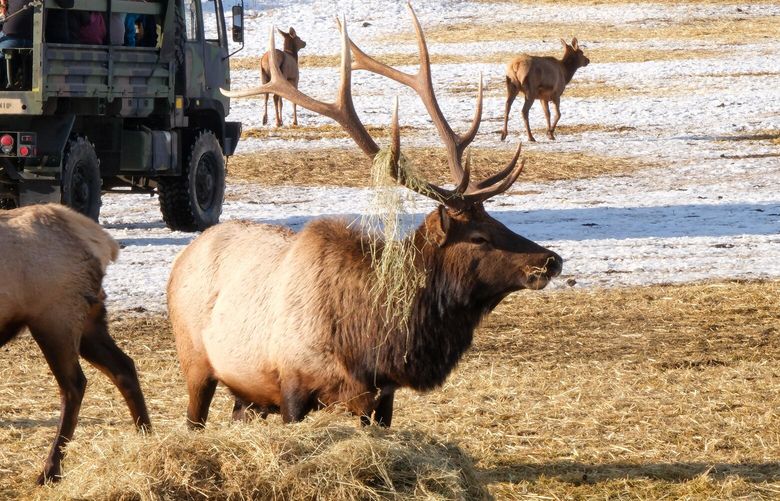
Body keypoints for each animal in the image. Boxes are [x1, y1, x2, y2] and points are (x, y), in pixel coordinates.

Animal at [0, 204, 151, 484]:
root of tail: (102, 242)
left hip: (55, 319)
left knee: (74, 385)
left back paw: (50, 470)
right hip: (89, 320)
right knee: (124, 367)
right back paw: (147, 436)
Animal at [171, 2, 562, 429]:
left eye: (497, 221)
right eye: (478, 237)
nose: (552, 260)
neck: (369, 342)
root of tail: (184, 256)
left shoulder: (381, 397)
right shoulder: (291, 384)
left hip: (246, 391)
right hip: (195, 361)